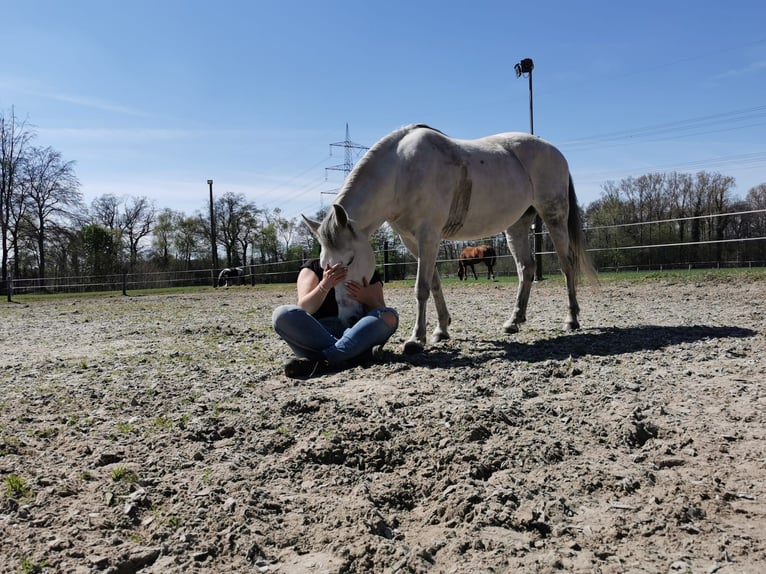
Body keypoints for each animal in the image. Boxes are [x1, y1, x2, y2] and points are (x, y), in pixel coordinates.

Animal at [304, 124, 596, 354]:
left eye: (350, 260)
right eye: (324, 266)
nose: (349, 318)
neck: (402, 171)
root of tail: (554, 151)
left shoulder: (429, 236)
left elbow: (421, 288)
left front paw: (415, 339)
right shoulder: (413, 241)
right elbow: (434, 283)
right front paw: (441, 330)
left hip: (554, 217)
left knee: (566, 265)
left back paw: (571, 319)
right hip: (517, 226)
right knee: (526, 268)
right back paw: (513, 321)